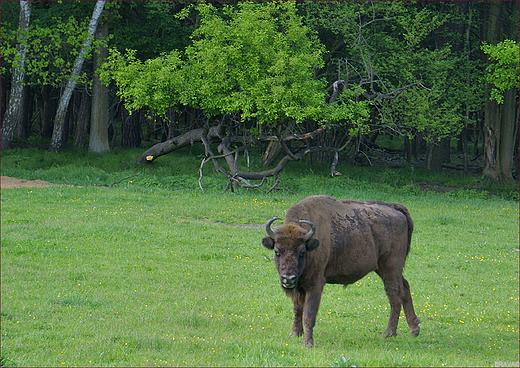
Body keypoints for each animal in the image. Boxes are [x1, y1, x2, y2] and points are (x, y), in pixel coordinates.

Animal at [262, 196, 420, 348]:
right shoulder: (298, 287)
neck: (311, 243)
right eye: (277, 251)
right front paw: (295, 334)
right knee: (405, 287)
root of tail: (396, 209)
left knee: (394, 295)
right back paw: (414, 329)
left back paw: (388, 333)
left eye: (301, 252)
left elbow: (309, 314)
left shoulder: (315, 285)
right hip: (383, 269)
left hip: (390, 267)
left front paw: (308, 343)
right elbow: (297, 309)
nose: (288, 278)